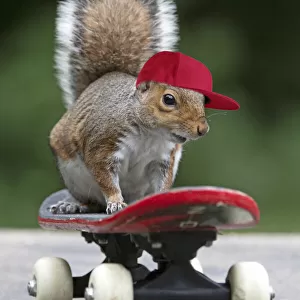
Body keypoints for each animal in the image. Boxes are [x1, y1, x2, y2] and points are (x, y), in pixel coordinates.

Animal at [50, 0, 240, 214]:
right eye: (168, 99)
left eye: (203, 99)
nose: (202, 129)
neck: (149, 135)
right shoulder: (101, 145)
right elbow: (106, 179)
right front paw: (115, 201)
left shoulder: (163, 159)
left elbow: (163, 181)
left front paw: (164, 197)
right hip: (74, 176)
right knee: (92, 201)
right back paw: (73, 205)